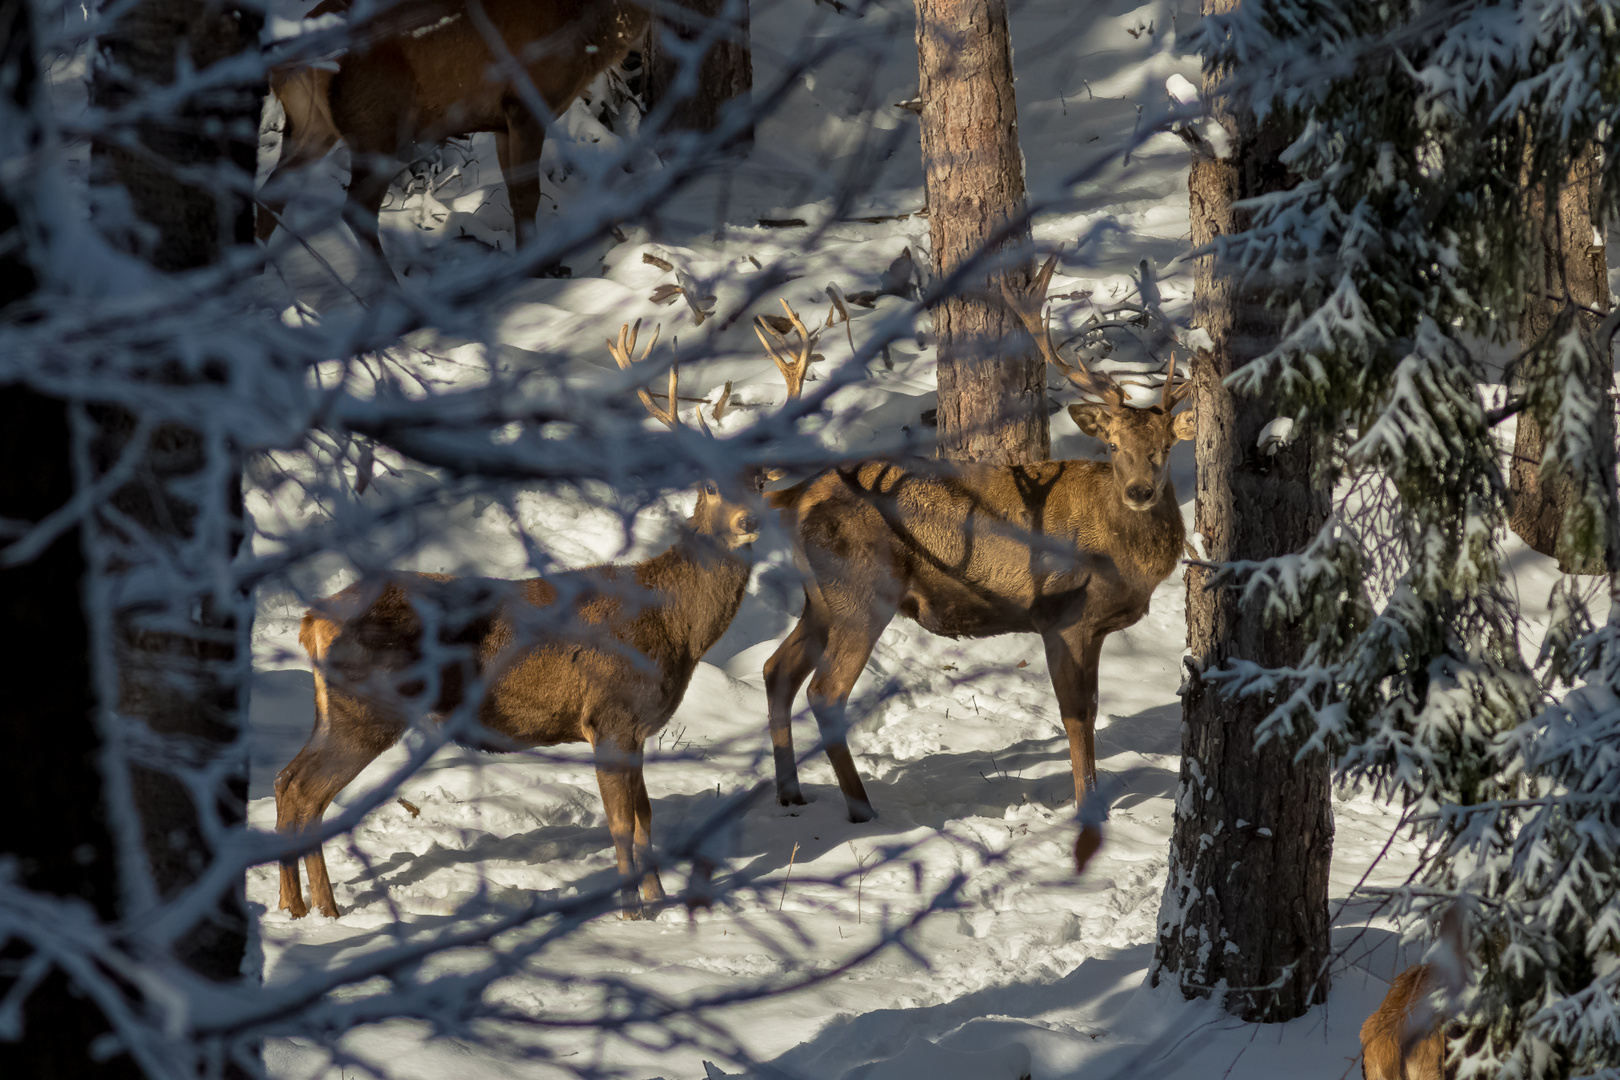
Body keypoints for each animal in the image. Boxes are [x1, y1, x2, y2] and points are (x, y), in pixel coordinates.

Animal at [255, 0, 648, 254]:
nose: (635, 61)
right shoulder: (525, 102)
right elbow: (528, 195)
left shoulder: (502, 121)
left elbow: (515, 195)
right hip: (375, 121)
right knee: (356, 208)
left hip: (311, 124)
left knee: (271, 192)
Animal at [275, 320, 754, 919]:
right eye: (709, 484)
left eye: (761, 480)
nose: (749, 521)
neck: (675, 627)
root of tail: (312, 619)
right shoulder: (609, 716)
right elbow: (623, 825)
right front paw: (630, 911)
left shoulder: (637, 728)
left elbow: (646, 819)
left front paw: (658, 901)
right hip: (367, 707)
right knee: (304, 791)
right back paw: (322, 910)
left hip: (334, 710)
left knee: (285, 781)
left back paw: (296, 906)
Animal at [754, 257, 1192, 822]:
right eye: (1113, 445)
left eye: (1166, 446)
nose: (1140, 491)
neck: (1124, 561)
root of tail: (796, 495)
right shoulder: (1062, 616)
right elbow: (1077, 714)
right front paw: (1086, 808)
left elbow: (1091, 709)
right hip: (861, 591)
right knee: (825, 692)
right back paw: (862, 809)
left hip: (821, 598)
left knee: (776, 670)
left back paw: (791, 793)